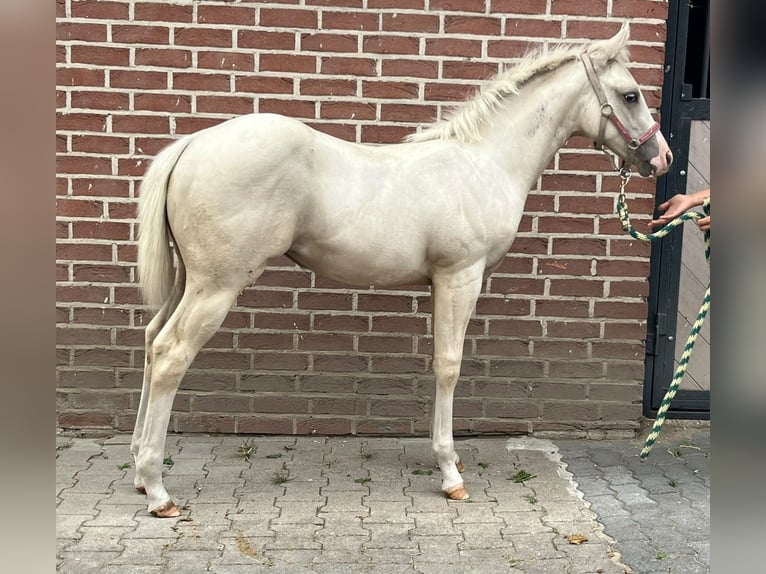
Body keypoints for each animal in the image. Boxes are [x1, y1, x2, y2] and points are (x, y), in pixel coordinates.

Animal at [132, 25, 672, 517]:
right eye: (630, 94)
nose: (662, 157)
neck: (483, 163)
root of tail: (192, 144)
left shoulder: (441, 281)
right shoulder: (460, 276)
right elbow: (448, 365)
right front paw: (451, 473)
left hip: (189, 280)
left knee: (152, 340)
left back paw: (138, 471)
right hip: (217, 285)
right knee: (171, 353)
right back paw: (158, 489)